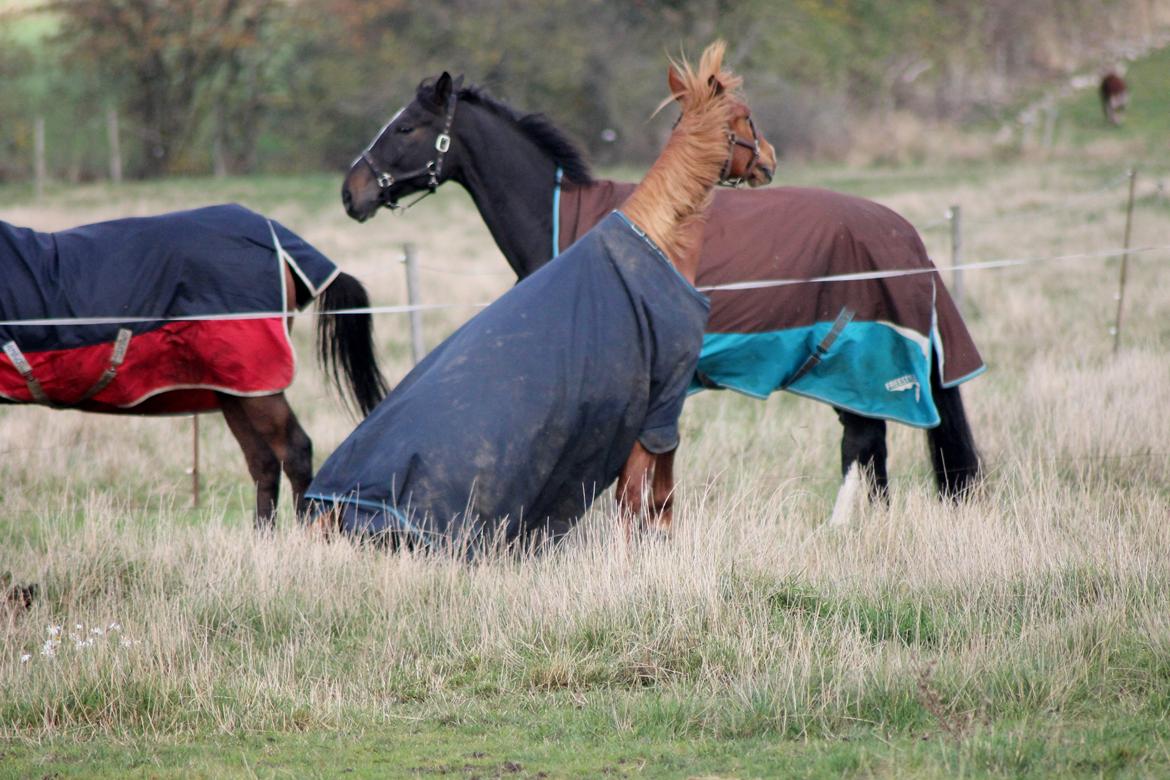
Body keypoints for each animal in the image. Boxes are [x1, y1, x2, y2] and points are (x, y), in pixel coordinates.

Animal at [306, 42, 772, 551]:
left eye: (405, 125)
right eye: (747, 117)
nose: (350, 194)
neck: (656, 239)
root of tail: (331, 504)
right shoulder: (663, 397)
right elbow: (648, 494)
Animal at [341, 76, 982, 514]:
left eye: (405, 128)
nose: (351, 193)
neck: (573, 226)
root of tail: (906, 235)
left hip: (854, 364)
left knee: (862, 442)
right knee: (870, 446)